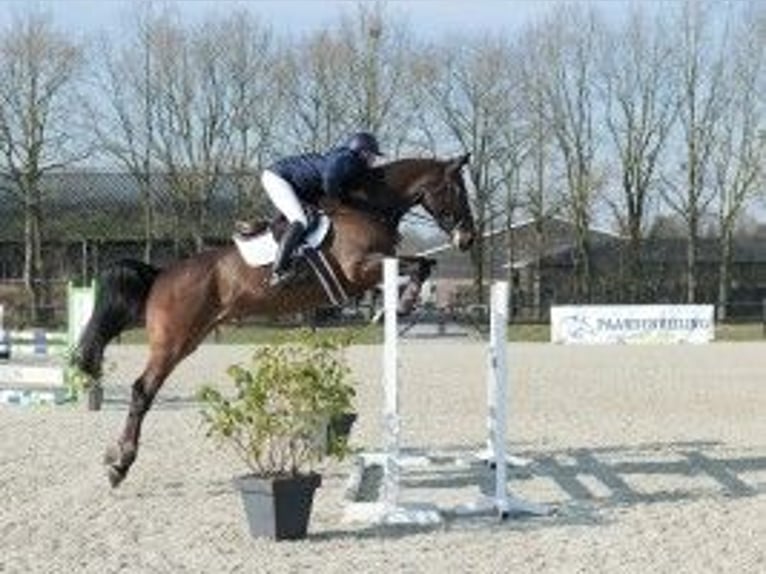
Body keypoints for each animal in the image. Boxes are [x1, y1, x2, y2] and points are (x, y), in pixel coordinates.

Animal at [75, 155, 476, 488]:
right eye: (458, 190)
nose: (468, 237)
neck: (368, 207)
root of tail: (161, 274)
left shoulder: (373, 270)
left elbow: (424, 265)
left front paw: (400, 304)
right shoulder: (360, 268)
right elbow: (418, 264)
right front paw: (403, 303)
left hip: (187, 336)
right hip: (172, 341)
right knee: (142, 390)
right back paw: (120, 463)